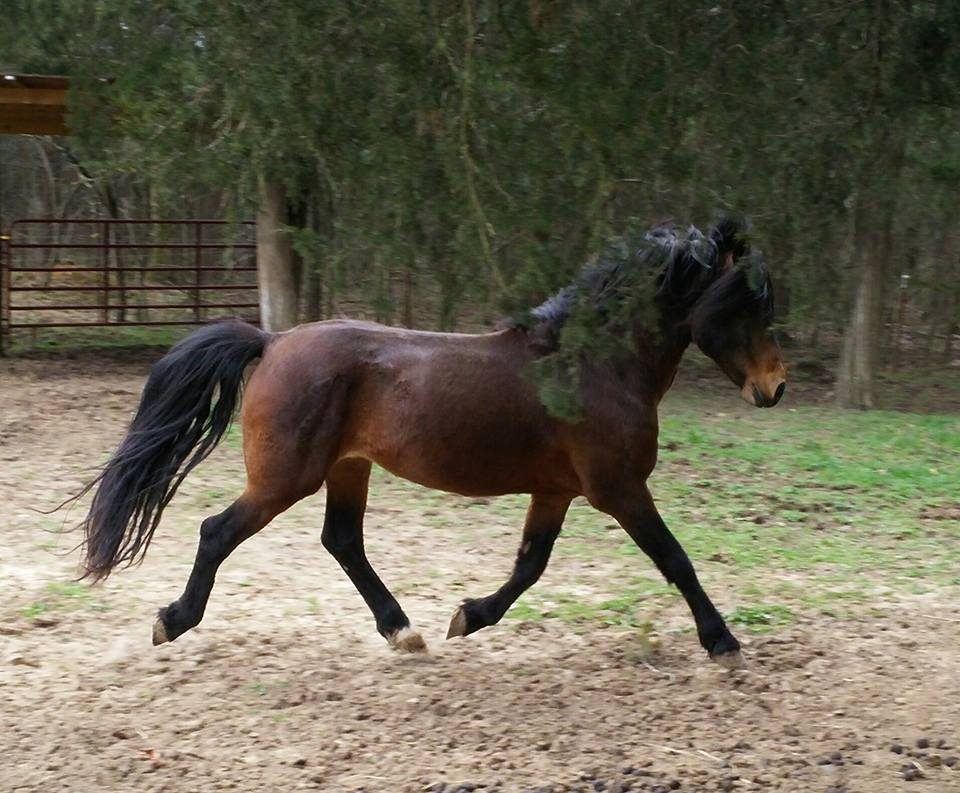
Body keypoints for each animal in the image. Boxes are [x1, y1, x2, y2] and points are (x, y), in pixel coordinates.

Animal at [76, 216, 786, 669]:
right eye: (744, 303)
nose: (774, 388)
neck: (593, 364)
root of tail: (273, 342)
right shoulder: (618, 488)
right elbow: (675, 559)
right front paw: (722, 642)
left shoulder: (557, 490)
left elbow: (530, 566)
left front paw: (468, 616)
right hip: (285, 478)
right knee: (218, 531)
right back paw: (172, 621)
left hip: (347, 468)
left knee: (342, 541)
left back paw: (403, 632)